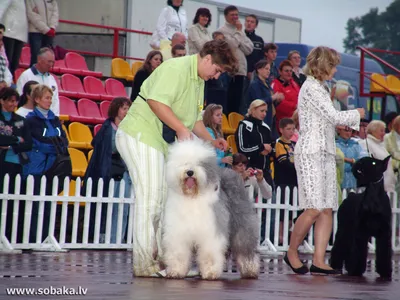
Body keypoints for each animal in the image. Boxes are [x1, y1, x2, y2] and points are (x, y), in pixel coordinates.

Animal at [162, 138, 260, 278]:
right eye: (185, 162)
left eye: (200, 164)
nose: (190, 172)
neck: (193, 197)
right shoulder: (178, 232)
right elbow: (179, 253)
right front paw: (176, 271)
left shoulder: (210, 232)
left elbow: (210, 253)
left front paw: (210, 272)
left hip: (242, 226)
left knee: (245, 248)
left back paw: (250, 270)